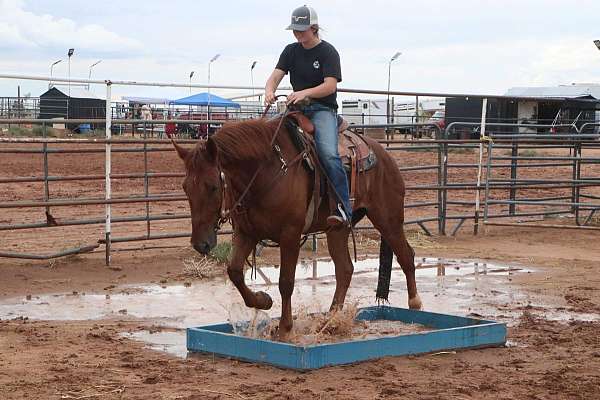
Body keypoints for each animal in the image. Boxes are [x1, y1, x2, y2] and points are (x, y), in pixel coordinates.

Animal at [171, 115, 420, 340]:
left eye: (213, 186)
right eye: (185, 187)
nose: (200, 244)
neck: (267, 171)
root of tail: (384, 155)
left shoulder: (290, 234)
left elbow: (286, 282)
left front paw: (285, 329)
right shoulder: (246, 233)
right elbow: (234, 272)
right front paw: (263, 300)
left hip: (388, 219)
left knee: (406, 256)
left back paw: (415, 305)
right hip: (337, 230)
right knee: (345, 269)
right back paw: (330, 320)